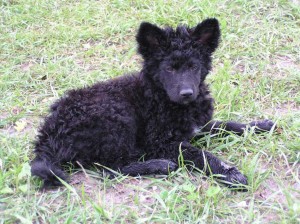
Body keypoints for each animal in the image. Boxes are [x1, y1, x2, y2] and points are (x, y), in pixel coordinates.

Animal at [30, 18, 274, 187]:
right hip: (117, 118)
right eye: (169, 69)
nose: (187, 93)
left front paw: (260, 125)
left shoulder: (199, 125)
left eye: (193, 66)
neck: (162, 97)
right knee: (110, 169)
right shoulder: (161, 141)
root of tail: (48, 136)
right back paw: (159, 164)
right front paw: (230, 172)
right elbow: (201, 154)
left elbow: (225, 125)